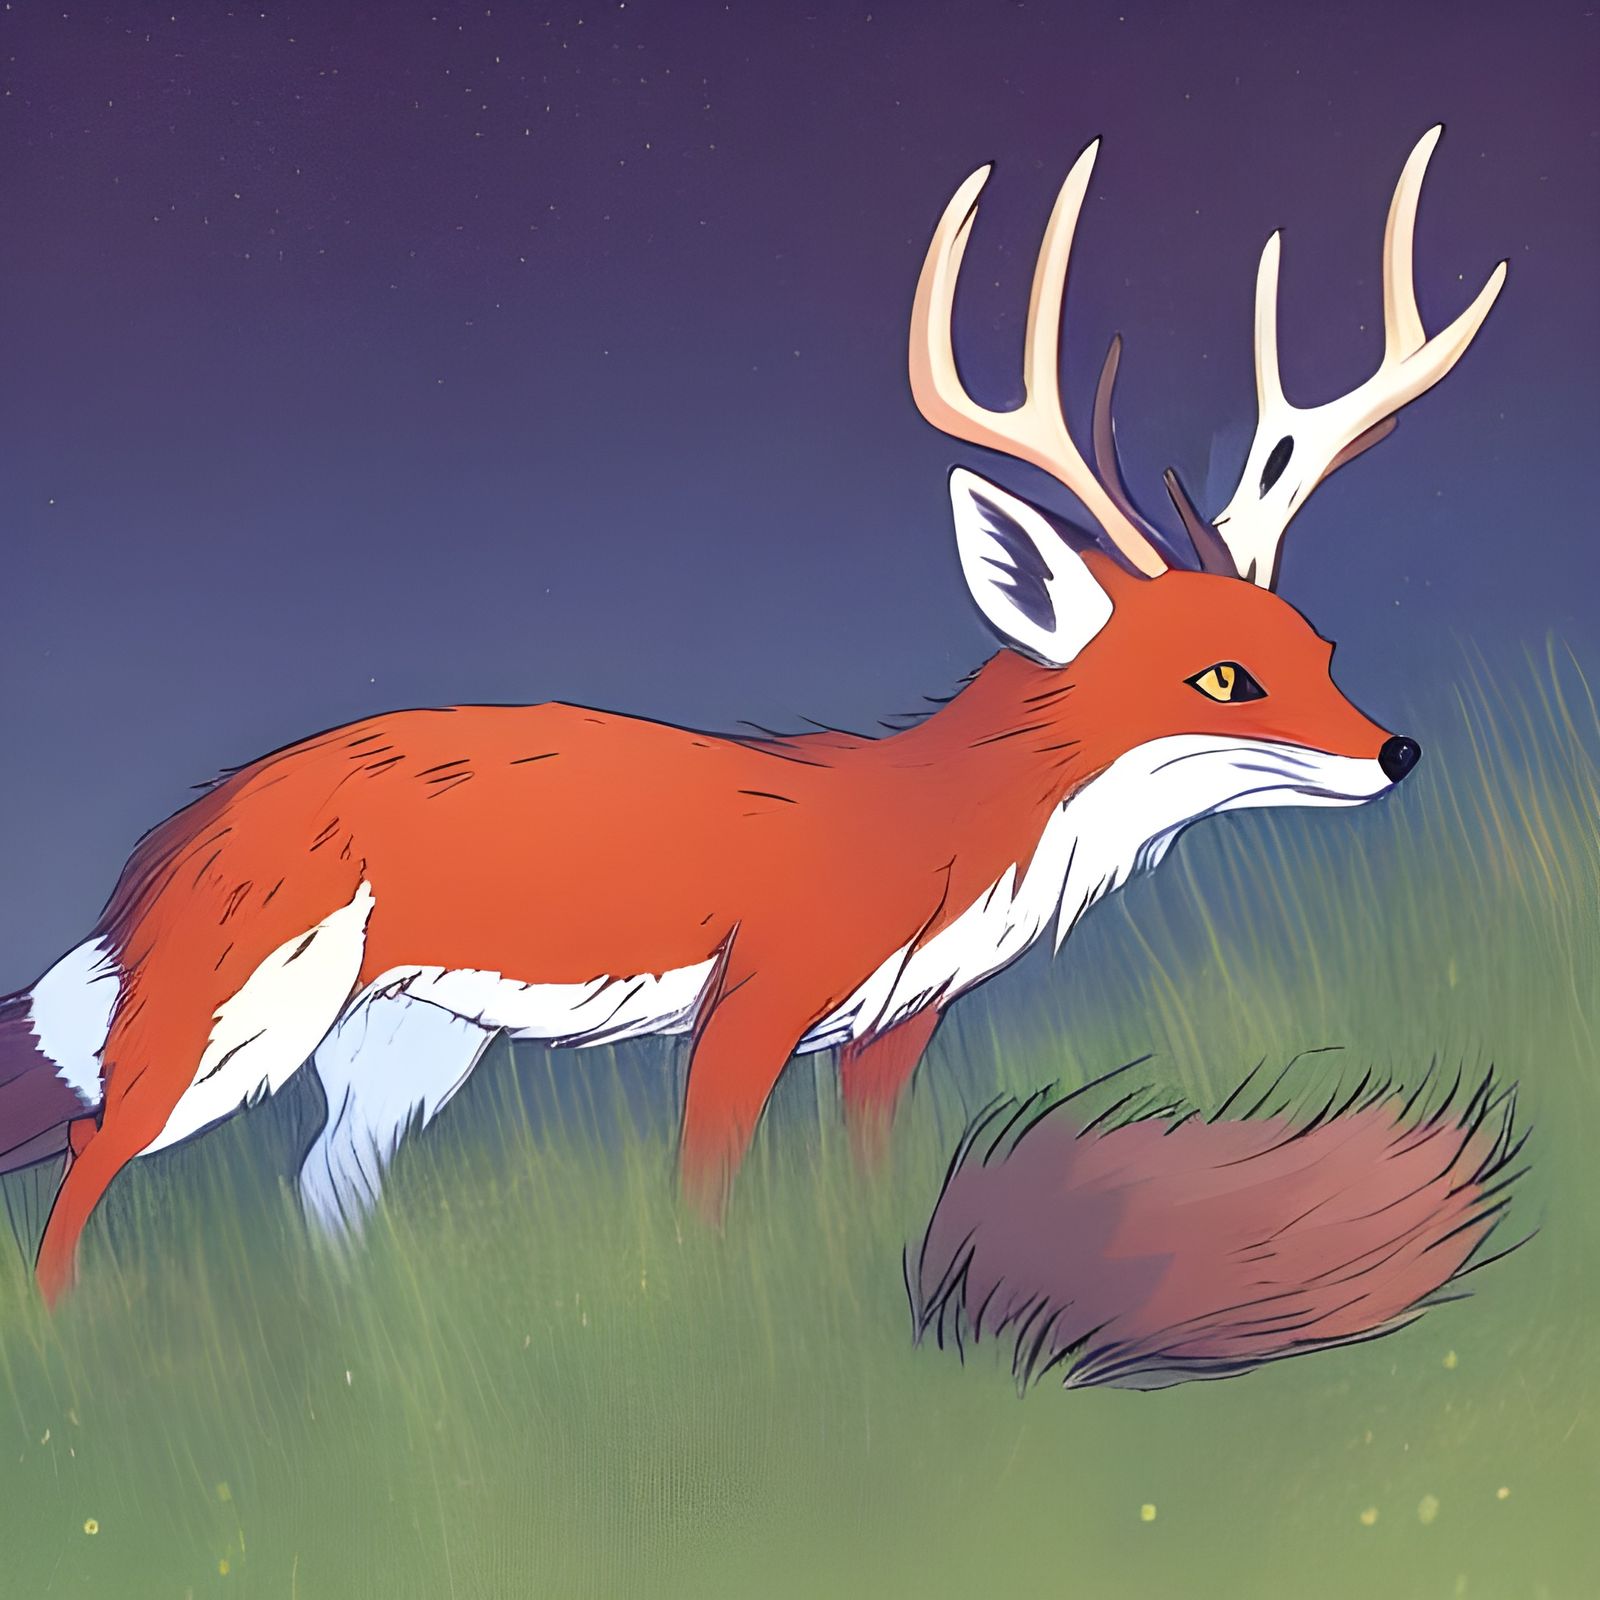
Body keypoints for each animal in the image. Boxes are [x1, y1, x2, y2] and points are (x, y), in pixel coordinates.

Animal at [1, 128, 1504, 1303]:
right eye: (1221, 680)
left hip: (409, 1048)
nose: (1398, 751)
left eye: (1317, 648)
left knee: (320, 1195)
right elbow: (707, 1194)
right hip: (235, 1029)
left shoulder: (898, 1025)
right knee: (86, 1162)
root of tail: (167, 843)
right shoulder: (756, 997)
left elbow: (870, 1183)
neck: (926, 831)